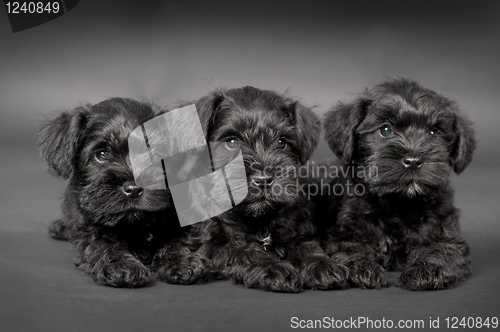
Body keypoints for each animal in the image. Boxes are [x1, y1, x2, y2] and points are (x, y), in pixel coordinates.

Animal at [37, 97, 205, 286]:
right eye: (101, 154)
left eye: (153, 154)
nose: (133, 189)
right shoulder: (88, 228)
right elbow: (104, 245)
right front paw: (123, 265)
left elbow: (174, 242)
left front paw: (181, 261)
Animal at [152, 87, 348, 292]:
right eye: (231, 141)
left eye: (281, 142)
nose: (263, 180)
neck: (259, 220)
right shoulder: (212, 246)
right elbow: (246, 251)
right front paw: (274, 267)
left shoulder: (298, 231)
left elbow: (308, 247)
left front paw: (322, 264)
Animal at [320, 78, 476, 290]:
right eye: (385, 130)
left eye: (433, 132)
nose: (413, 160)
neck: (399, 202)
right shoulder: (345, 231)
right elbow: (350, 248)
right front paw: (363, 267)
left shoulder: (446, 234)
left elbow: (442, 251)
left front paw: (425, 270)